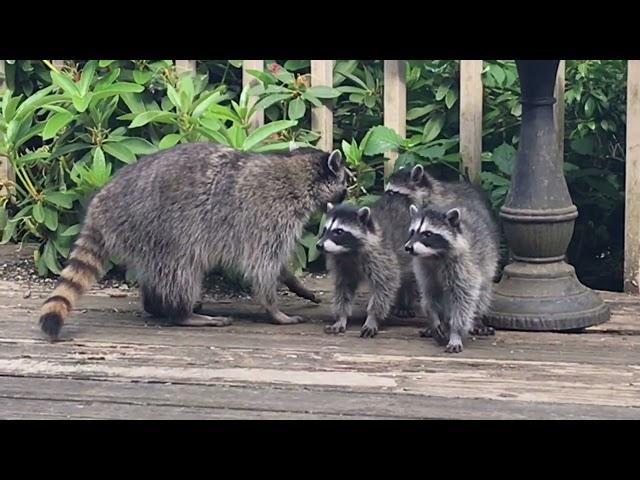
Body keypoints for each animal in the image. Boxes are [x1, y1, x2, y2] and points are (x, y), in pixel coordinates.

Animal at [37, 143, 348, 342]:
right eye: (348, 179)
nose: (349, 192)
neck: (296, 174)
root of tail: (102, 201)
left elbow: (275, 265)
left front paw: (296, 284)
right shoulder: (268, 217)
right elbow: (261, 268)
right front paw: (274, 309)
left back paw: (156, 305)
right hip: (162, 229)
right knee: (181, 270)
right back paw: (181, 313)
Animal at [316, 202, 400, 338]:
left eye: (339, 232)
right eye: (324, 230)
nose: (319, 245)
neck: (348, 251)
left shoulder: (382, 256)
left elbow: (384, 286)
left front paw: (372, 317)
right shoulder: (342, 264)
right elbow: (343, 288)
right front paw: (341, 316)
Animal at [404, 204, 500, 354]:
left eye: (428, 234)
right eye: (413, 232)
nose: (408, 247)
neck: (434, 255)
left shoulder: (464, 266)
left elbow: (463, 300)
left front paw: (455, 332)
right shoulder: (425, 269)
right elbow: (429, 296)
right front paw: (433, 318)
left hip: (487, 262)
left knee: (482, 293)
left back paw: (476, 319)